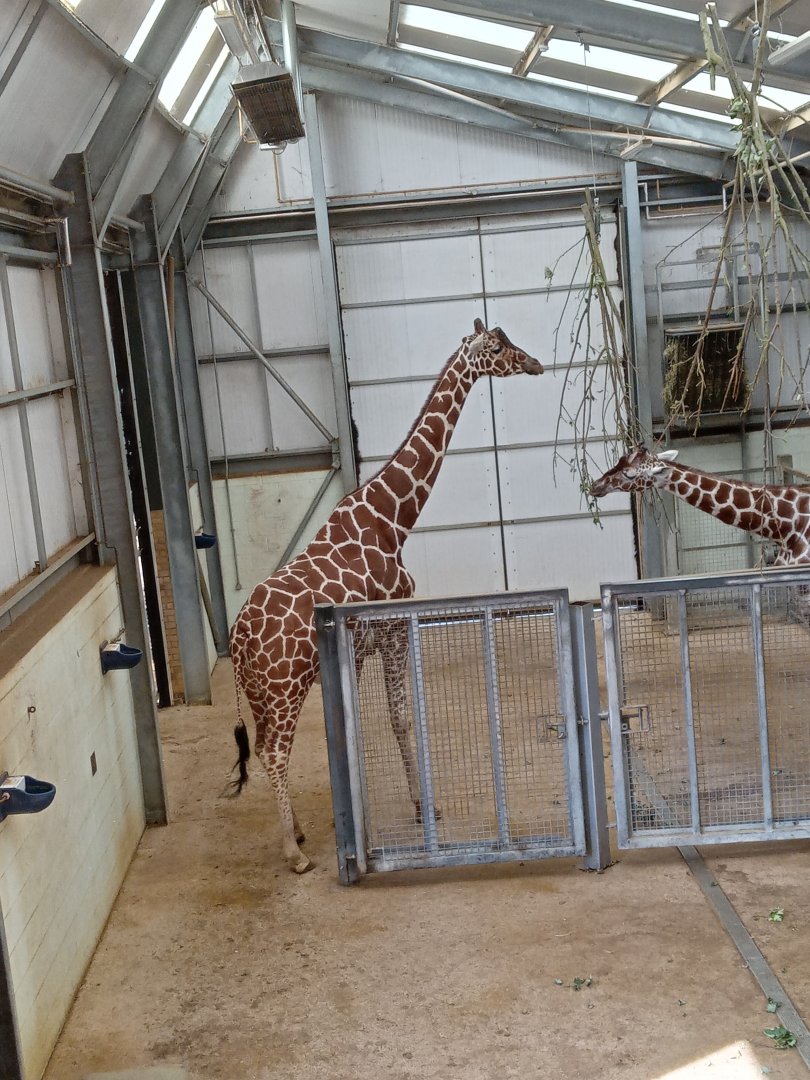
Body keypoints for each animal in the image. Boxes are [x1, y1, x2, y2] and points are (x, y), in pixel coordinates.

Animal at [229, 319, 544, 873]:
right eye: (498, 347)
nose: (535, 363)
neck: (392, 519)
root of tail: (237, 640)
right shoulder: (395, 629)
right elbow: (400, 717)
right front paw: (424, 807)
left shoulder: (357, 649)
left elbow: (356, 726)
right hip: (286, 690)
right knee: (274, 753)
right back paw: (293, 851)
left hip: (261, 694)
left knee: (265, 747)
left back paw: (301, 830)